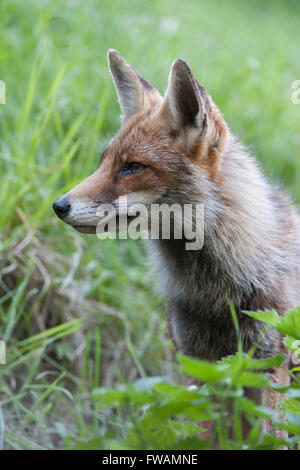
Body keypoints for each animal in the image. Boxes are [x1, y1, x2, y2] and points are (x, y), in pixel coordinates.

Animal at [52, 50, 298, 434]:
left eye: (133, 168)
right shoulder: (196, 360)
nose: (59, 206)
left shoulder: (270, 362)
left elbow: (270, 433)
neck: (217, 290)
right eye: (103, 162)